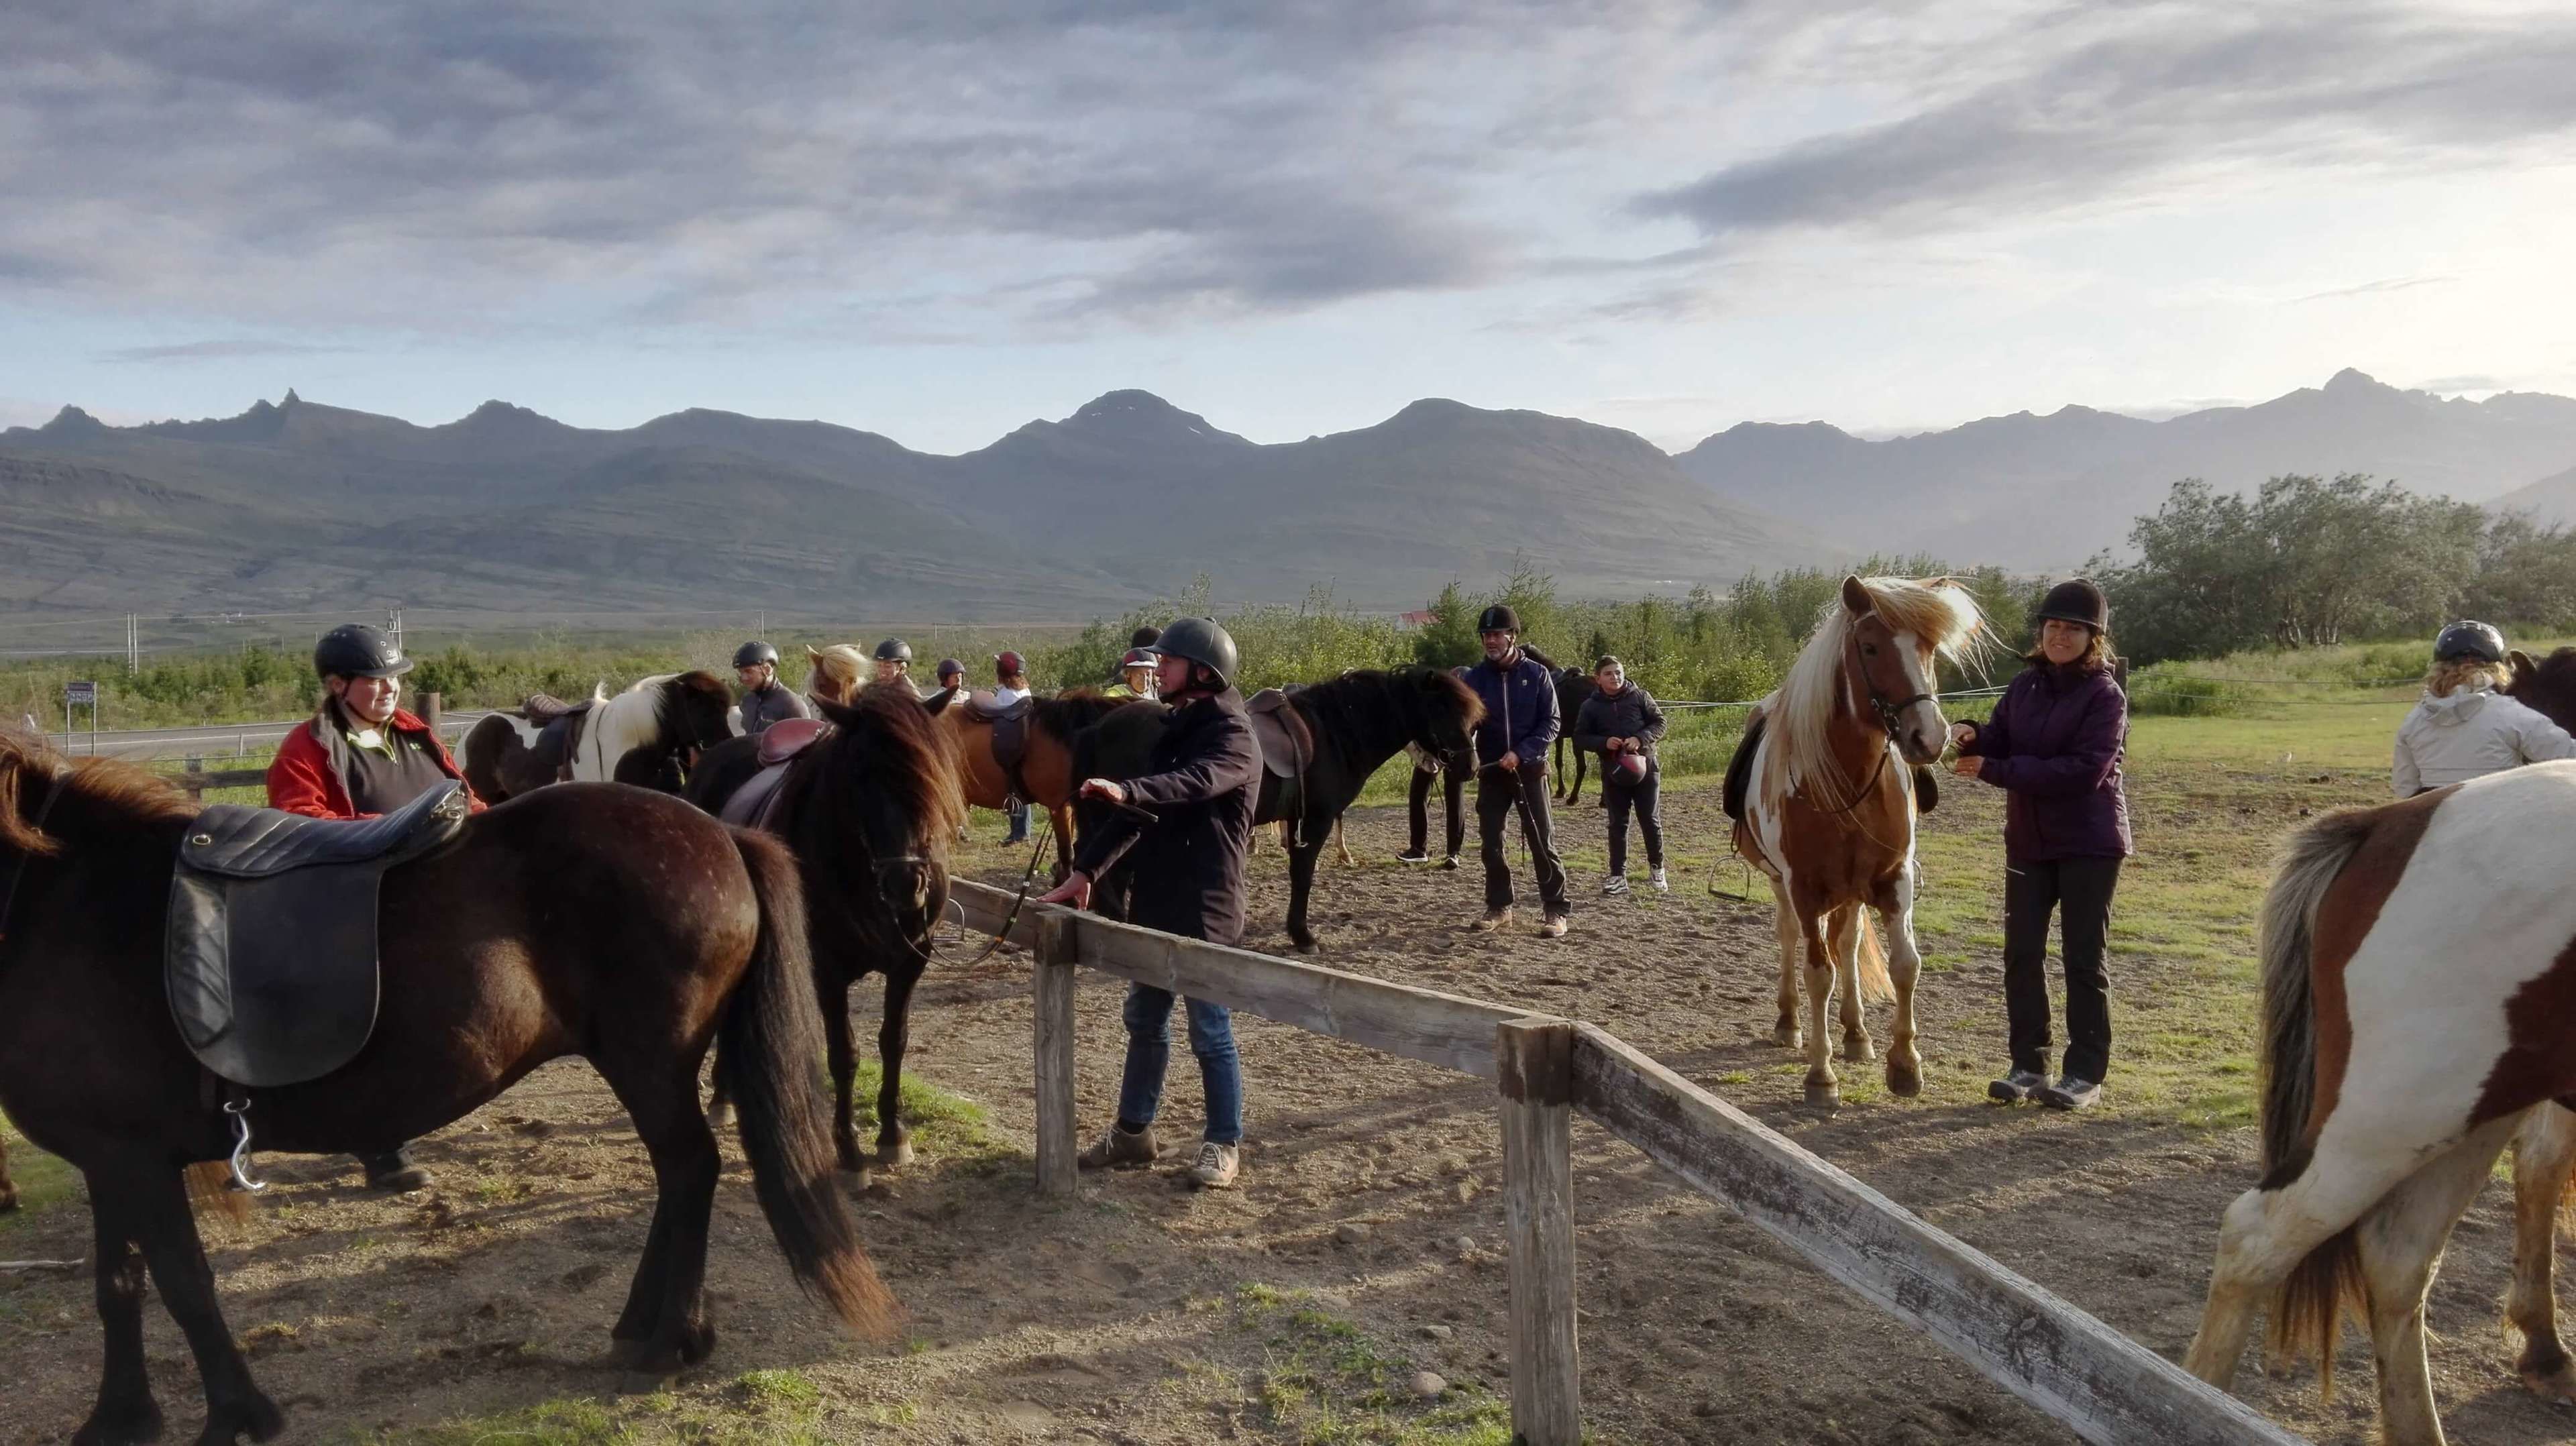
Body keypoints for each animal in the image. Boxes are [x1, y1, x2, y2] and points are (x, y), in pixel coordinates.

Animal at [0, 729, 921, 1445]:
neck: (64, 899)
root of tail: (722, 835)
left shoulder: (132, 1158)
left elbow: (183, 1284)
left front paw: (236, 1412)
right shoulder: (111, 1161)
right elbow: (119, 1286)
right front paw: (120, 1416)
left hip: (649, 1060)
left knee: (690, 1168)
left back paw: (668, 1342)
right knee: (677, 1175)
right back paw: (643, 1328)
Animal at [685, 691, 964, 1177]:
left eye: (926, 770)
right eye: (859, 774)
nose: (905, 883)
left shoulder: (910, 963)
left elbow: (894, 1041)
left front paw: (892, 1135)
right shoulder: (827, 971)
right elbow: (844, 1054)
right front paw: (849, 1151)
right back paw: (722, 1099)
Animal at [1072, 666, 1483, 953]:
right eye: (1442, 711)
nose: (1471, 767)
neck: (1333, 732)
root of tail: (1099, 727)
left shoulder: (1298, 820)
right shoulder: (1315, 820)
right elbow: (1303, 875)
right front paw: (1302, 935)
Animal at [1724, 575, 1985, 1109]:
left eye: (1929, 648)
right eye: (1869, 647)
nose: (1930, 737)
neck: (1846, 785)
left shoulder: (1894, 880)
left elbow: (1905, 965)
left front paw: (1904, 1064)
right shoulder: (1805, 889)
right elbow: (1817, 974)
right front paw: (1820, 1077)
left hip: (1850, 893)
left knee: (1847, 943)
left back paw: (1856, 1033)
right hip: (1785, 886)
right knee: (1790, 939)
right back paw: (1789, 1023)